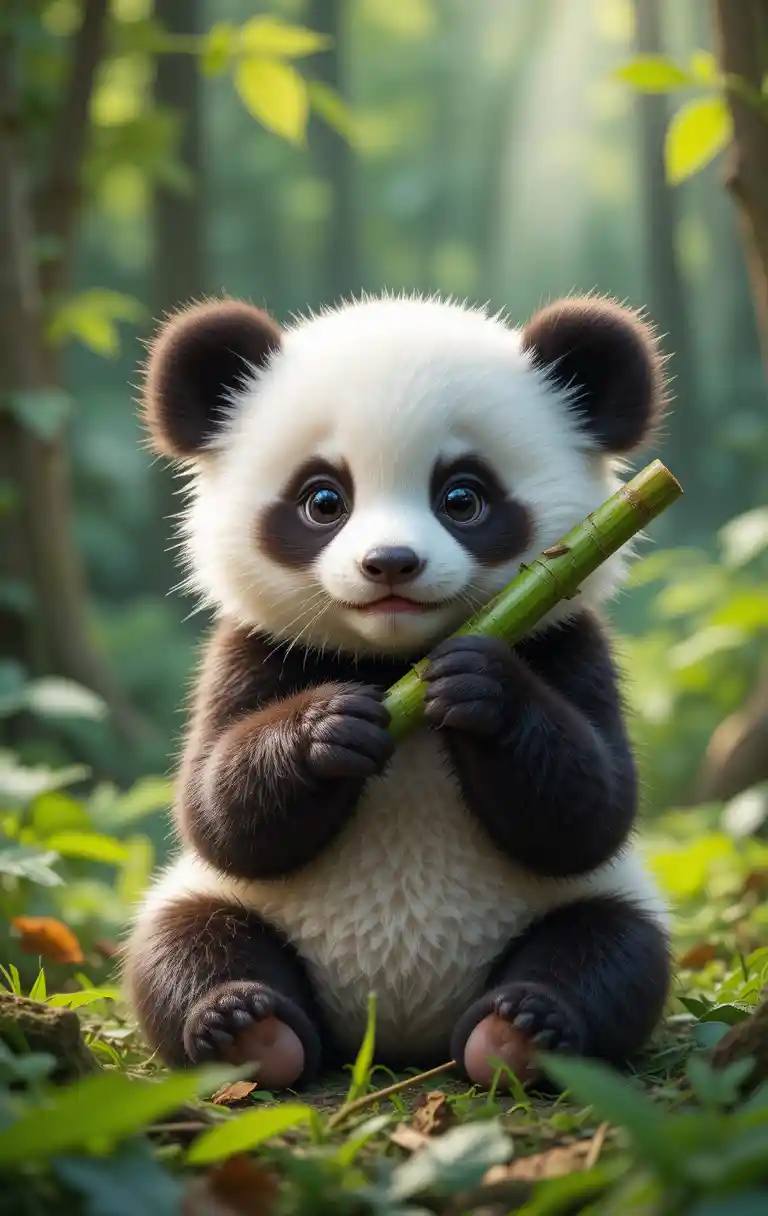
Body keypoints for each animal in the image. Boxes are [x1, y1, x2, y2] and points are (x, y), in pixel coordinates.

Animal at [124, 292, 672, 1092]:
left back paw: (519, 1027)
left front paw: (481, 692)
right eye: (324, 500)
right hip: (222, 905)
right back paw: (244, 1024)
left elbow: (594, 811)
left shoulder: (567, 640)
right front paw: (326, 728)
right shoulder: (254, 650)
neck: (395, 660)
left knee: (615, 946)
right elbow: (217, 815)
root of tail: (396, 1035)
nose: (390, 563)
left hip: (583, 908)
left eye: (462, 498)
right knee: (180, 945)